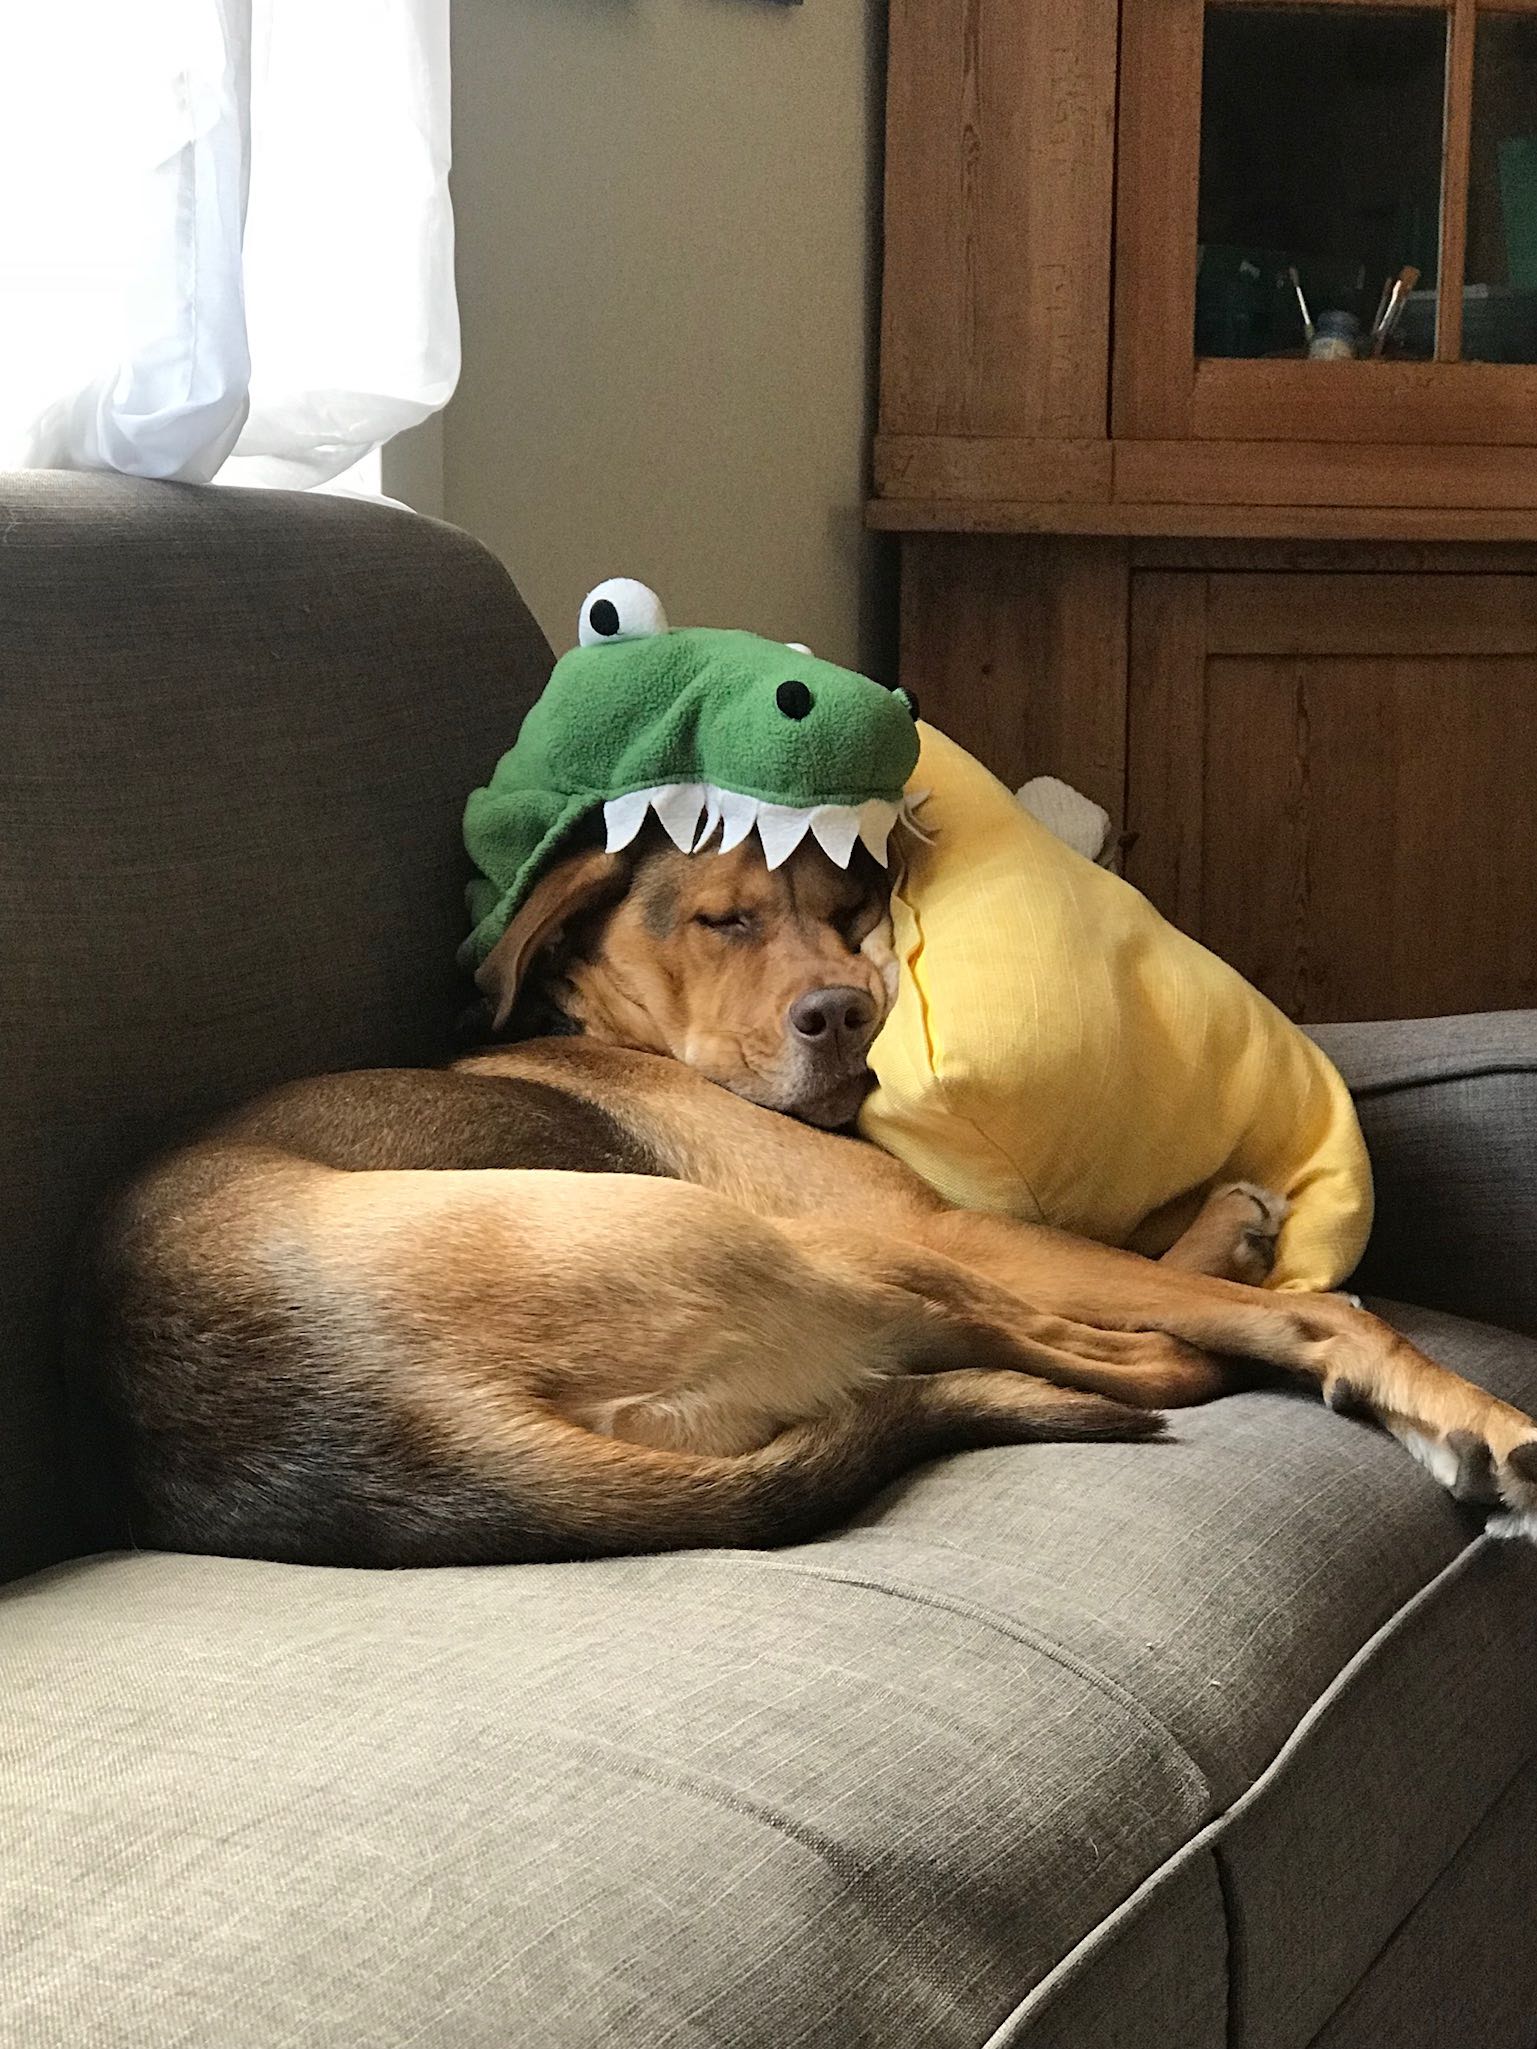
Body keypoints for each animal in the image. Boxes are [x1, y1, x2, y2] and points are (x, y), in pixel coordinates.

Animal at [84, 823, 1537, 1557]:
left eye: (850, 909)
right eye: (721, 920)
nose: (843, 1015)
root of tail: (408, 1427)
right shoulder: (948, 1226)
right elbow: (1295, 1313)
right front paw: (1464, 1410)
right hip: (795, 1244)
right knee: (1131, 1352)